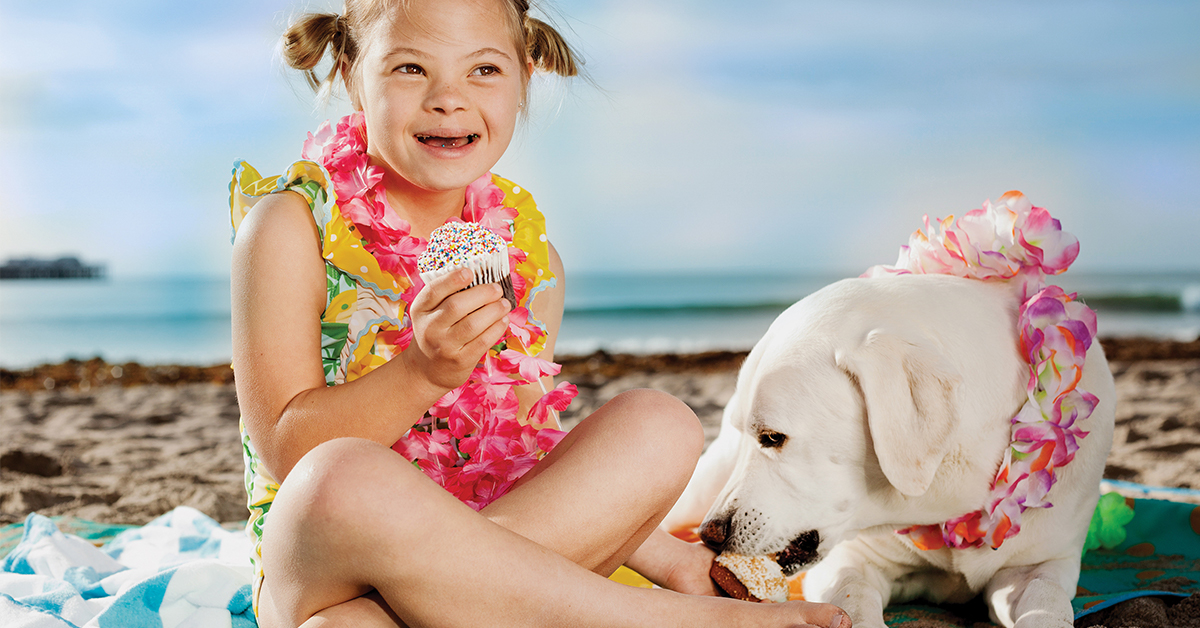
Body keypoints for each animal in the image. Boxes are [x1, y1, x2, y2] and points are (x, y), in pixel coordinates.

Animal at [667, 273, 1113, 628]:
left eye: (773, 437)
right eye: (749, 432)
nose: (710, 534)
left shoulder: (1040, 566)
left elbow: (1047, 604)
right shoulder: (850, 562)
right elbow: (854, 600)